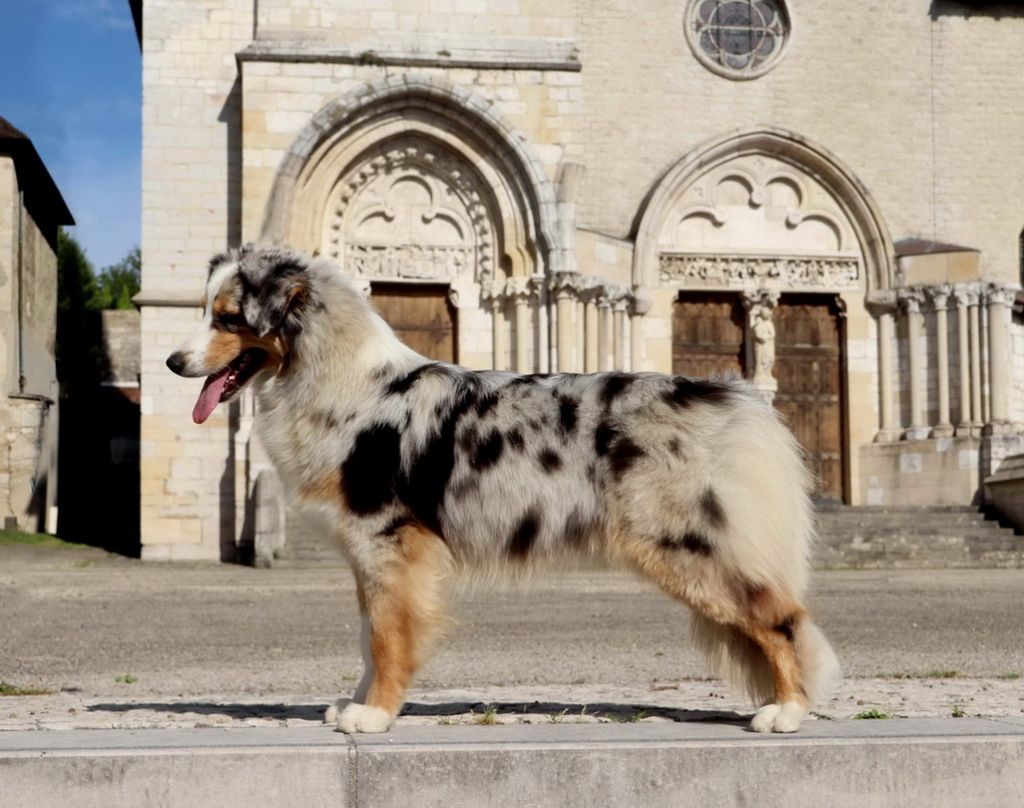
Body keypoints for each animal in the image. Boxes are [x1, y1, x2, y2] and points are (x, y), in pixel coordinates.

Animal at [169, 242, 839, 733]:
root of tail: (732, 397)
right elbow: (367, 635)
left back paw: (786, 712)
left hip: (686, 547)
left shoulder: (389, 539)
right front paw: (355, 704)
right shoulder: (368, 550)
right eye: (204, 310)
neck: (339, 379)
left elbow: (387, 636)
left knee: (783, 618)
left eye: (228, 317)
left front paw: (375, 716)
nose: (173, 362)